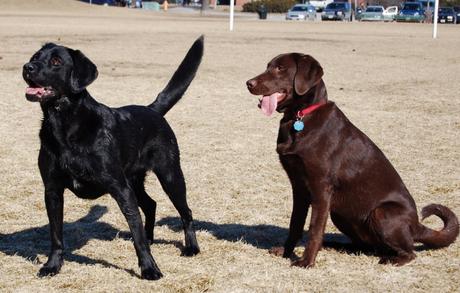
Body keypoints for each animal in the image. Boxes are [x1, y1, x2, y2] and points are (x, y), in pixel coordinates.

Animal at [22, 36, 204, 278]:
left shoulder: (120, 188)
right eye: (35, 57)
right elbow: (56, 235)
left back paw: (191, 247)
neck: (64, 126)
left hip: (170, 176)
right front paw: (52, 265)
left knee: (186, 212)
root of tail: (153, 110)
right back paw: (152, 237)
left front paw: (149, 269)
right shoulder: (52, 190)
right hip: (135, 181)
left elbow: (136, 232)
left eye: (56, 61)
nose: (27, 67)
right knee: (151, 204)